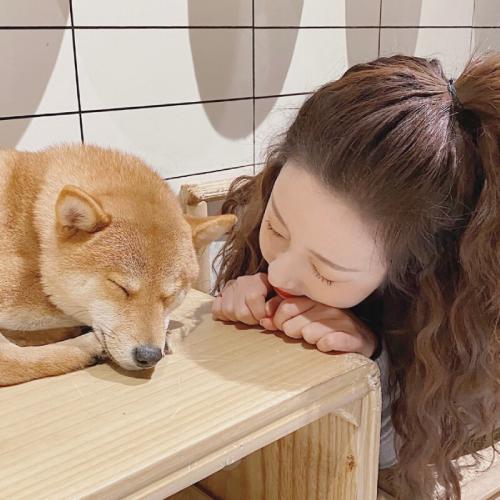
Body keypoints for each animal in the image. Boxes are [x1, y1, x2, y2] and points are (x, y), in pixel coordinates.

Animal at [0, 144, 236, 386]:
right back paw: (88, 346)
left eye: (170, 296)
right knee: (9, 362)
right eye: (120, 287)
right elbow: (63, 308)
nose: (149, 355)